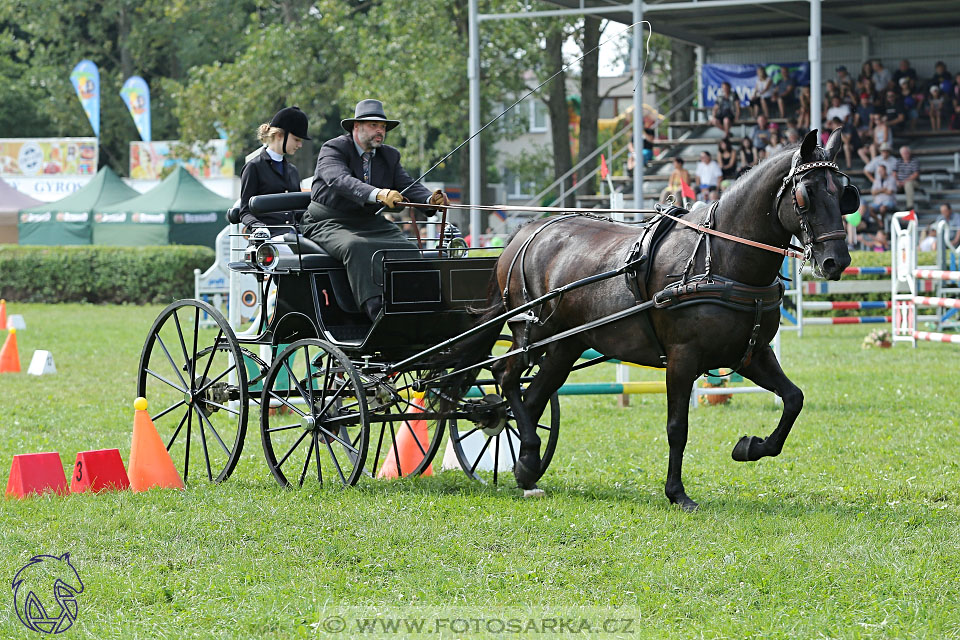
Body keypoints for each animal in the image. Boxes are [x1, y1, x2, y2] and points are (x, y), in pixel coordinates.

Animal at [458, 130, 856, 510]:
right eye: (804, 196)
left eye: (845, 194)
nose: (836, 261)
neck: (719, 256)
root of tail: (525, 232)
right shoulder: (682, 358)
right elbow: (677, 427)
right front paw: (677, 493)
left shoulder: (751, 354)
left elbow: (793, 399)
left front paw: (749, 446)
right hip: (533, 332)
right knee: (506, 376)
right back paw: (521, 452)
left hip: (565, 345)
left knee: (534, 395)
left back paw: (527, 465)